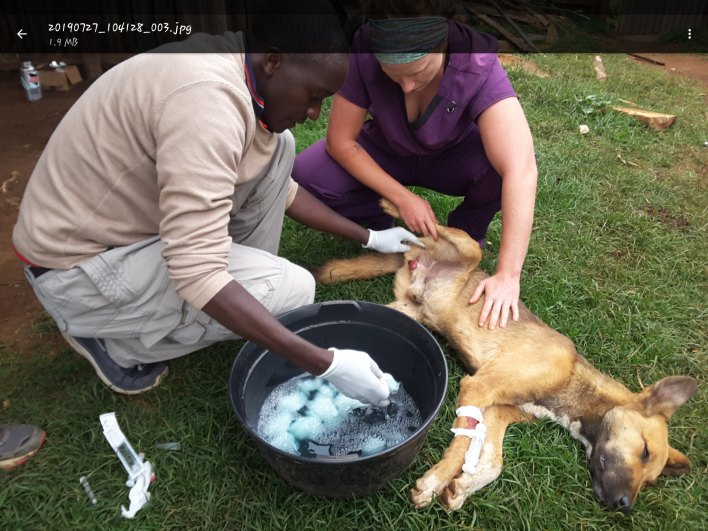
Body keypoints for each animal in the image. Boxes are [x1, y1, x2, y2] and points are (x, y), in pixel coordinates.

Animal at [316, 198, 696, 512]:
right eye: (644, 451)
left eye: (651, 477)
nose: (624, 506)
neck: (572, 381)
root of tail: (416, 261)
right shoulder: (477, 388)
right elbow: (461, 445)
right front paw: (436, 481)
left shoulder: (498, 411)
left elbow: (492, 463)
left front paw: (462, 488)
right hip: (469, 249)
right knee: (430, 224)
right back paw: (395, 204)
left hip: (408, 311)